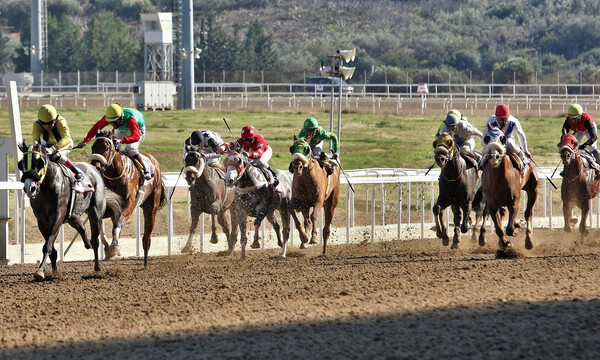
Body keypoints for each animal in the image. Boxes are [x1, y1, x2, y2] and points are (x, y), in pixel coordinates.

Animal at [17, 142, 121, 280]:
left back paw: (97, 267)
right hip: (73, 216)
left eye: (40, 162)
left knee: (95, 240)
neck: (47, 187)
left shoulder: (57, 216)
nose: (30, 188)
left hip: (95, 213)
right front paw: (53, 272)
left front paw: (39, 271)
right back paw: (87, 243)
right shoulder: (42, 221)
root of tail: (94, 168)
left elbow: (48, 245)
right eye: (21, 164)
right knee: (82, 227)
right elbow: (51, 248)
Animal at [88, 131, 166, 266]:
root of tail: (155, 162)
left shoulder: (128, 205)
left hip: (151, 206)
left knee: (147, 237)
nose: (95, 167)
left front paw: (114, 247)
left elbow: (118, 223)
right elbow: (100, 223)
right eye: (93, 147)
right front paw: (107, 247)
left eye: (106, 148)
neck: (115, 174)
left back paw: (145, 263)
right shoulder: (110, 207)